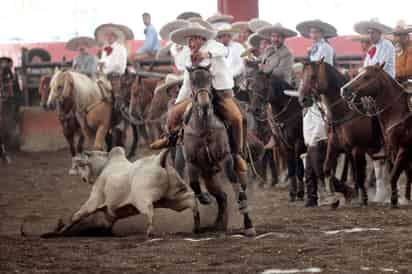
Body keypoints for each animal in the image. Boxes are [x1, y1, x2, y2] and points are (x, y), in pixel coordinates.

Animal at [46, 147, 200, 237]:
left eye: (79, 165)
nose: (78, 176)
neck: (105, 167)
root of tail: (159, 160)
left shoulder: (94, 201)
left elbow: (76, 216)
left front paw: (57, 233)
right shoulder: (111, 212)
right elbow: (108, 222)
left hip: (143, 198)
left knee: (150, 211)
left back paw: (150, 232)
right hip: (173, 198)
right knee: (192, 201)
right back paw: (196, 226)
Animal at [183, 65, 256, 237]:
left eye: (209, 79)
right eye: (192, 81)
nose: (204, 105)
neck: (204, 129)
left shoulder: (225, 159)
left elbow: (236, 188)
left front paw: (249, 224)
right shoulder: (192, 162)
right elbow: (194, 184)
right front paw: (204, 199)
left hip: (237, 164)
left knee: (240, 189)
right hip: (209, 175)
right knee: (222, 196)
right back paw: (217, 223)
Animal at [245, 61, 306, 201]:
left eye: (264, 88)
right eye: (251, 89)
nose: (255, 109)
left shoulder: (298, 143)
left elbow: (299, 168)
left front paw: (300, 193)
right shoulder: (284, 144)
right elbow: (292, 167)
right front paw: (292, 193)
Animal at [298, 60, 384, 206]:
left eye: (313, 76)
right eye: (301, 77)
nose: (303, 99)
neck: (345, 112)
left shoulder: (357, 148)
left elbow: (358, 173)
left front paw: (363, 197)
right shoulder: (334, 146)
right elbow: (327, 169)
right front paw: (335, 198)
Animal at [340, 62, 412, 208]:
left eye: (366, 77)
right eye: (358, 73)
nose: (344, 90)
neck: (399, 113)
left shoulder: (404, 148)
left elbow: (394, 175)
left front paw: (394, 200)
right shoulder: (392, 150)